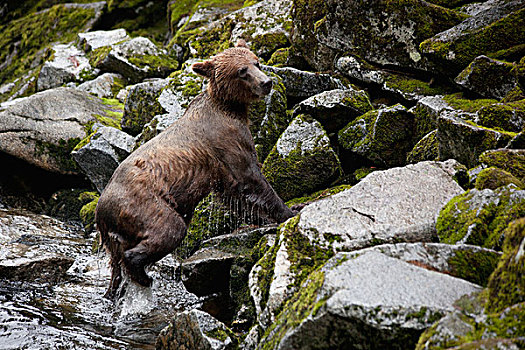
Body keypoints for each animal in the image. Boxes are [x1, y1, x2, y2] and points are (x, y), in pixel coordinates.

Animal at [95, 40, 294, 298]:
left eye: (256, 62)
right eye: (242, 71)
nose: (266, 82)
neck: (230, 107)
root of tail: (100, 211)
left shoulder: (220, 168)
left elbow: (235, 193)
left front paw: (260, 218)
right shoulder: (227, 139)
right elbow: (250, 178)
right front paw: (290, 210)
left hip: (115, 237)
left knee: (115, 267)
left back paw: (115, 289)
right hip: (142, 203)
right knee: (169, 229)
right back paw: (142, 274)